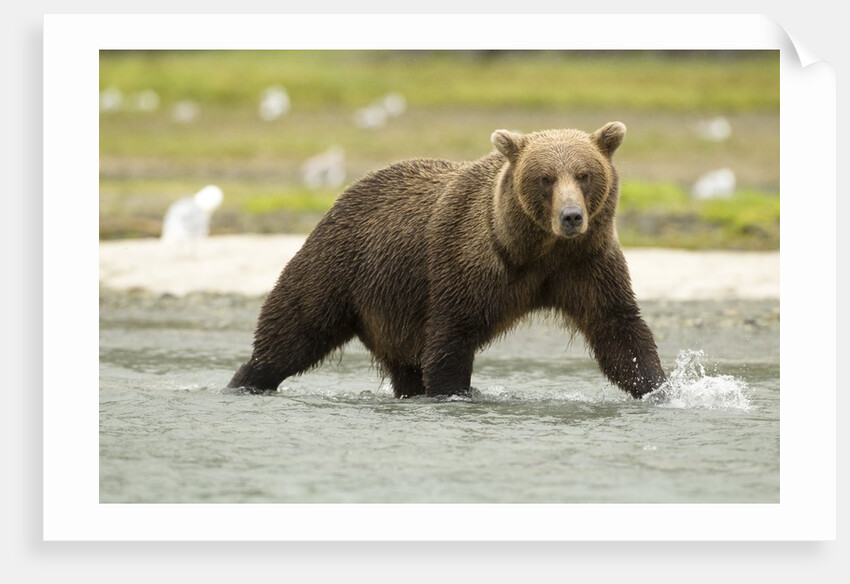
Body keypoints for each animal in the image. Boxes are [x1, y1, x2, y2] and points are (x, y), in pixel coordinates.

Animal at [228, 122, 667, 399]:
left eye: (584, 174)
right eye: (545, 178)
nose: (572, 216)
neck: (534, 250)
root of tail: (343, 194)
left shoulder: (585, 263)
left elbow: (617, 328)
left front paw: (661, 388)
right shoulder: (467, 262)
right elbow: (450, 338)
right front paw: (453, 393)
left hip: (389, 307)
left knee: (403, 364)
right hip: (339, 265)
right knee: (293, 329)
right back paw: (245, 380)